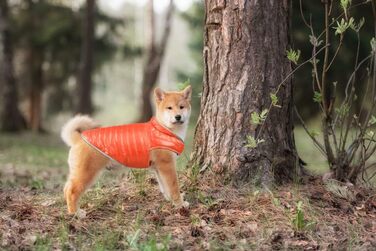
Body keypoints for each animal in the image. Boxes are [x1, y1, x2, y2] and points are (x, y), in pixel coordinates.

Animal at [61, 86, 192, 214]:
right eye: (169, 108)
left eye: (181, 107)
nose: (178, 116)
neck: (163, 129)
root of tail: (78, 138)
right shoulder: (167, 165)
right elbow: (174, 187)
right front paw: (180, 204)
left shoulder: (159, 168)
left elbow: (165, 187)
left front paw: (170, 200)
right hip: (87, 173)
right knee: (71, 191)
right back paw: (76, 213)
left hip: (79, 172)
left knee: (66, 188)